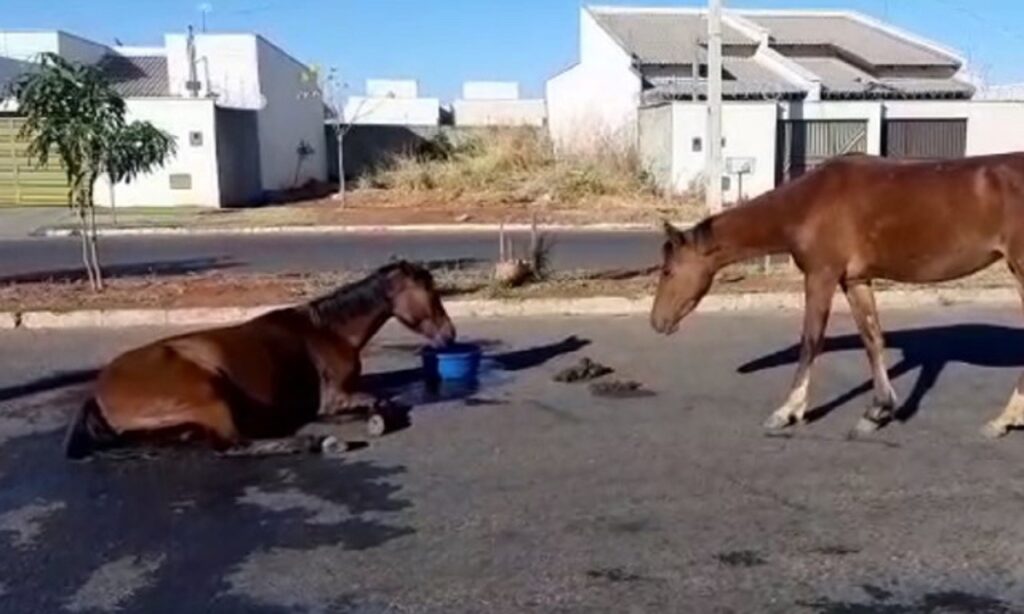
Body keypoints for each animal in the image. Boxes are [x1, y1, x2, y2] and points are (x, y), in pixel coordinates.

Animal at [66, 260, 458, 458]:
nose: (449, 334)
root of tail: (99, 391)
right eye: (430, 291)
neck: (325, 331)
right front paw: (378, 419)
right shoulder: (334, 399)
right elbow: (384, 400)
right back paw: (319, 442)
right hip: (210, 395)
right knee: (232, 446)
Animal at [651, 151, 1024, 437]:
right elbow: (872, 339)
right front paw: (877, 411)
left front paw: (788, 411)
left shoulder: (821, 276)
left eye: (667, 271)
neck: (809, 204)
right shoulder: (855, 280)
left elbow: (810, 341)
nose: (657, 322)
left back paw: (1004, 420)